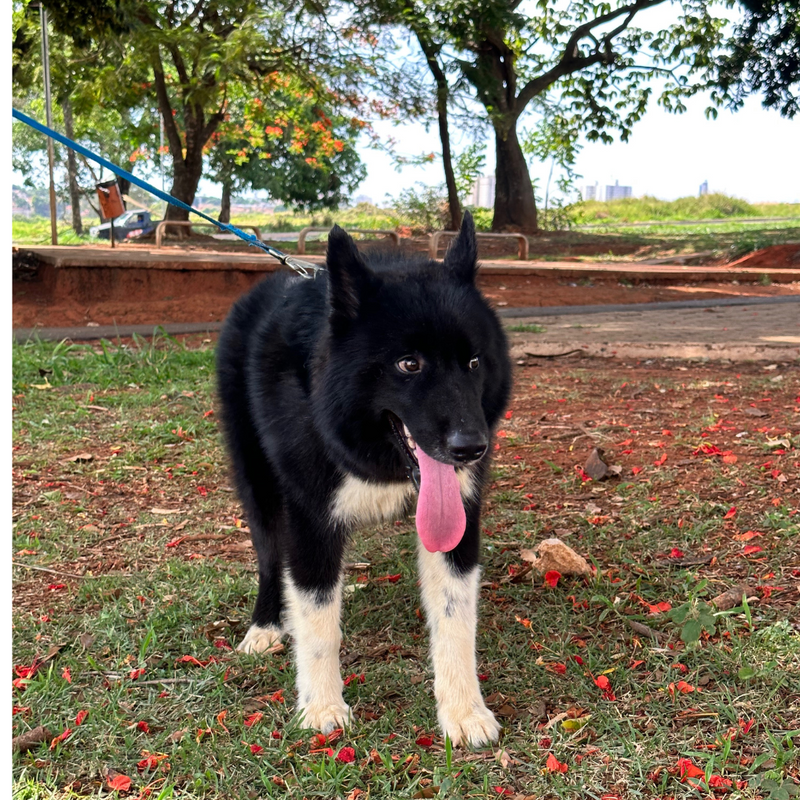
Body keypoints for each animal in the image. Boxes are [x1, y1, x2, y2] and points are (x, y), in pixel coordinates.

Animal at [214, 211, 512, 744]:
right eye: (409, 363)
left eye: (474, 362)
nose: (471, 447)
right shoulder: (310, 522)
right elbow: (317, 622)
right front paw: (321, 707)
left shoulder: (459, 521)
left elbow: (455, 617)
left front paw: (463, 710)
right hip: (258, 486)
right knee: (270, 560)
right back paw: (266, 624)